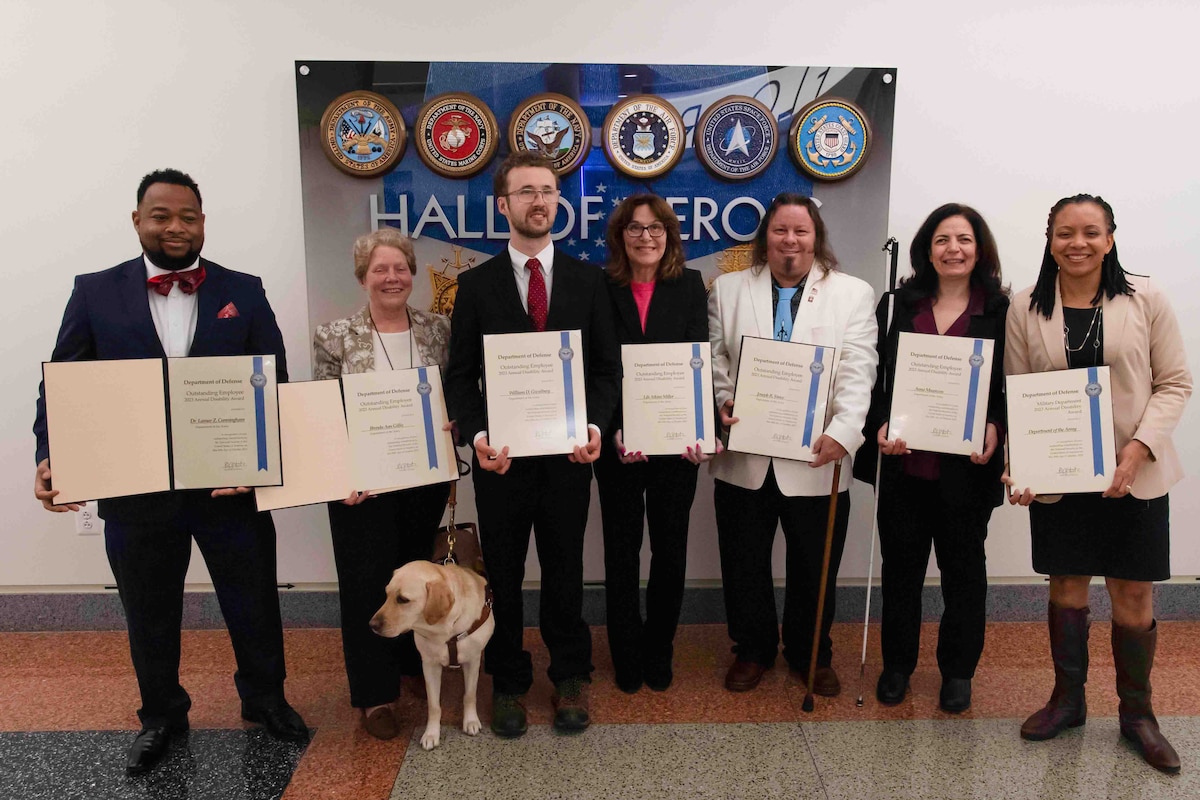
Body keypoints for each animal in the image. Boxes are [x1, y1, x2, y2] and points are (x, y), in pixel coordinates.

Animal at [367, 561, 494, 748]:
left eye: (403, 599)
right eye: (387, 594)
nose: (372, 625)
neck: (444, 631)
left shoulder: (472, 660)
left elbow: (469, 695)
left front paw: (471, 721)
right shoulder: (429, 665)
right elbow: (434, 706)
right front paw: (431, 733)